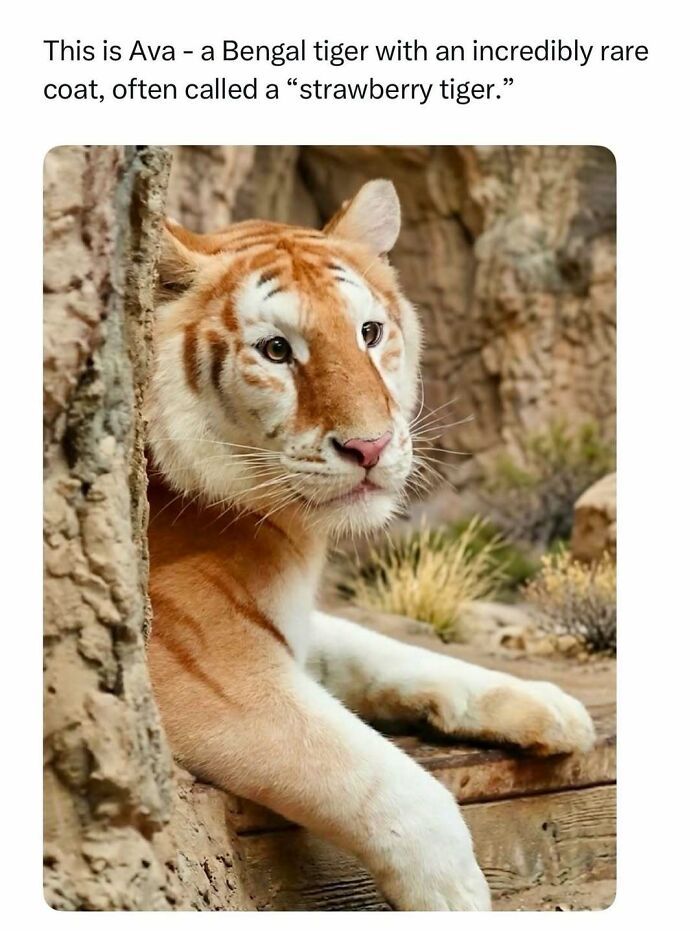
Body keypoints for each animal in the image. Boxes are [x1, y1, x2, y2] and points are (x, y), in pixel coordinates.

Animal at [145, 179, 595, 911]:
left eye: (369, 332)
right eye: (276, 350)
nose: (371, 446)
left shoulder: (292, 621)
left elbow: (391, 651)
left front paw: (550, 704)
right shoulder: (203, 669)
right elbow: (385, 779)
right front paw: (457, 894)